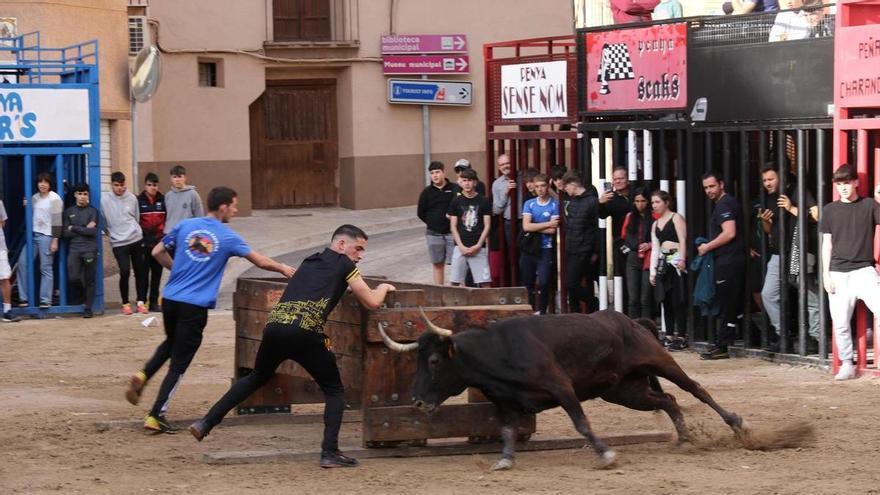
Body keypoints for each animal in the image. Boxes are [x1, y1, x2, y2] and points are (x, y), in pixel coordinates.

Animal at [374, 308, 744, 470]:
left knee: (695, 389)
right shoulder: (505, 403)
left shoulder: (562, 387)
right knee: (667, 399)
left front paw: (606, 454)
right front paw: (505, 460)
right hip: (624, 391)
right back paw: (684, 438)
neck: (496, 352)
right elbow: (507, 431)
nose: (417, 402)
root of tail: (632, 321)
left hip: (658, 361)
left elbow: (581, 423)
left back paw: (738, 424)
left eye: (434, 360)